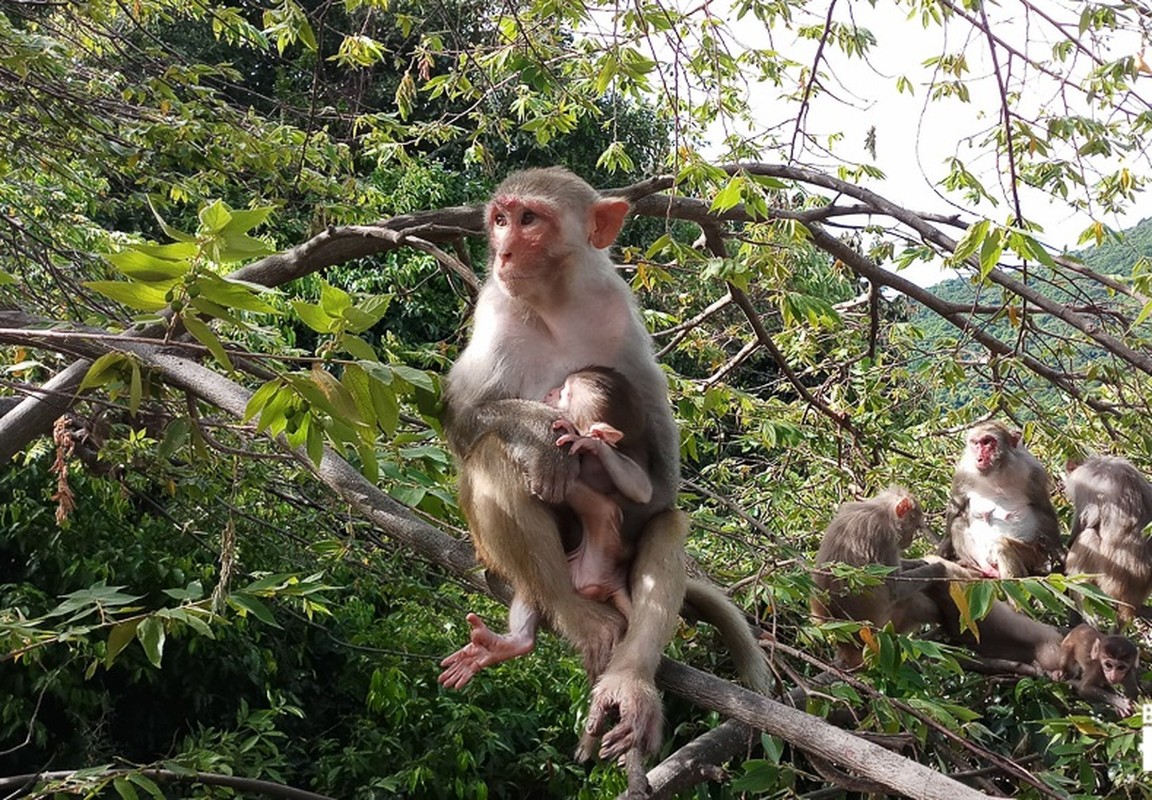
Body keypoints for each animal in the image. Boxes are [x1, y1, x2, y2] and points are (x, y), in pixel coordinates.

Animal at [437, 368, 654, 691]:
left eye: (565, 393)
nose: (550, 392)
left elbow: (639, 488)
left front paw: (591, 442)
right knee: (530, 586)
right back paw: (514, 641)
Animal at [811, 488, 944, 668]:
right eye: (915, 526)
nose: (910, 540)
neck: (881, 510)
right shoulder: (885, 536)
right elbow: (896, 589)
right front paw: (937, 568)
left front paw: (917, 562)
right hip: (884, 627)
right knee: (909, 600)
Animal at [935, 424, 1059, 578]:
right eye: (975, 443)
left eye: (987, 441)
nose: (979, 458)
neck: (996, 472)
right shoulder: (963, 474)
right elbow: (955, 512)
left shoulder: (1034, 470)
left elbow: (1044, 511)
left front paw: (1057, 551)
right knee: (957, 523)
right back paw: (985, 568)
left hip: (1031, 556)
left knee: (1001, 544)